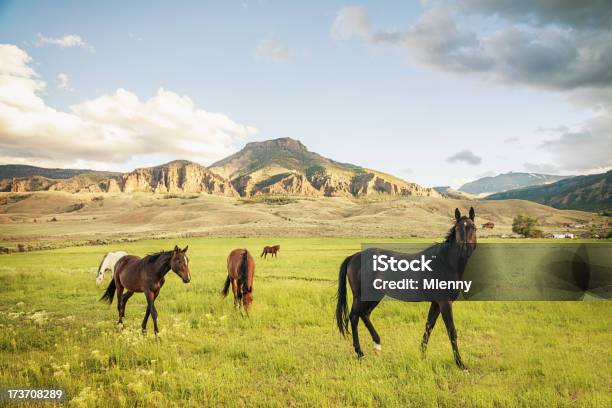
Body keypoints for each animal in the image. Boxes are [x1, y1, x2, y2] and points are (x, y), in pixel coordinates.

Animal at [334, 209, 478, 368]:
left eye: (473, 228)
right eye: (457, 229)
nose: (465, 250)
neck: (444, 262)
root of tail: (354, 257)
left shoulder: (436, 303)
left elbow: (428, 327)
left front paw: (422, 356)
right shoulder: (444, 303)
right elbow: (451, 331)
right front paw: (460, 364)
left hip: (374, 296)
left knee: (364, 314)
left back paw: (377, 345)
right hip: (362, 296)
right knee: (354, 317)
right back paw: (360, 353)